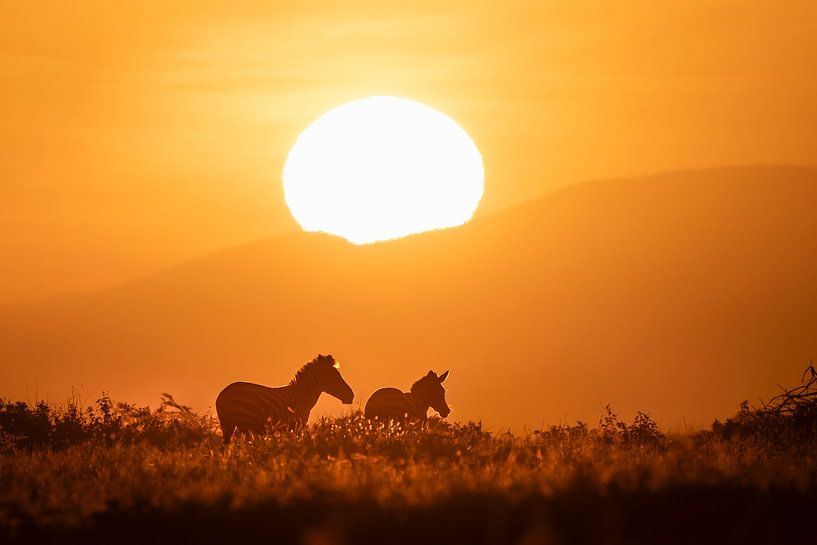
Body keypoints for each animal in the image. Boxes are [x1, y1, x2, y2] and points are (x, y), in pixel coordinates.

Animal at [215, 354, 354, 443]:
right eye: (336, 377)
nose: (351, 396)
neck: (303, 395)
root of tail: (224, 394)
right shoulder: (296, 426)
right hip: (246, 423)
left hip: (227, 425)